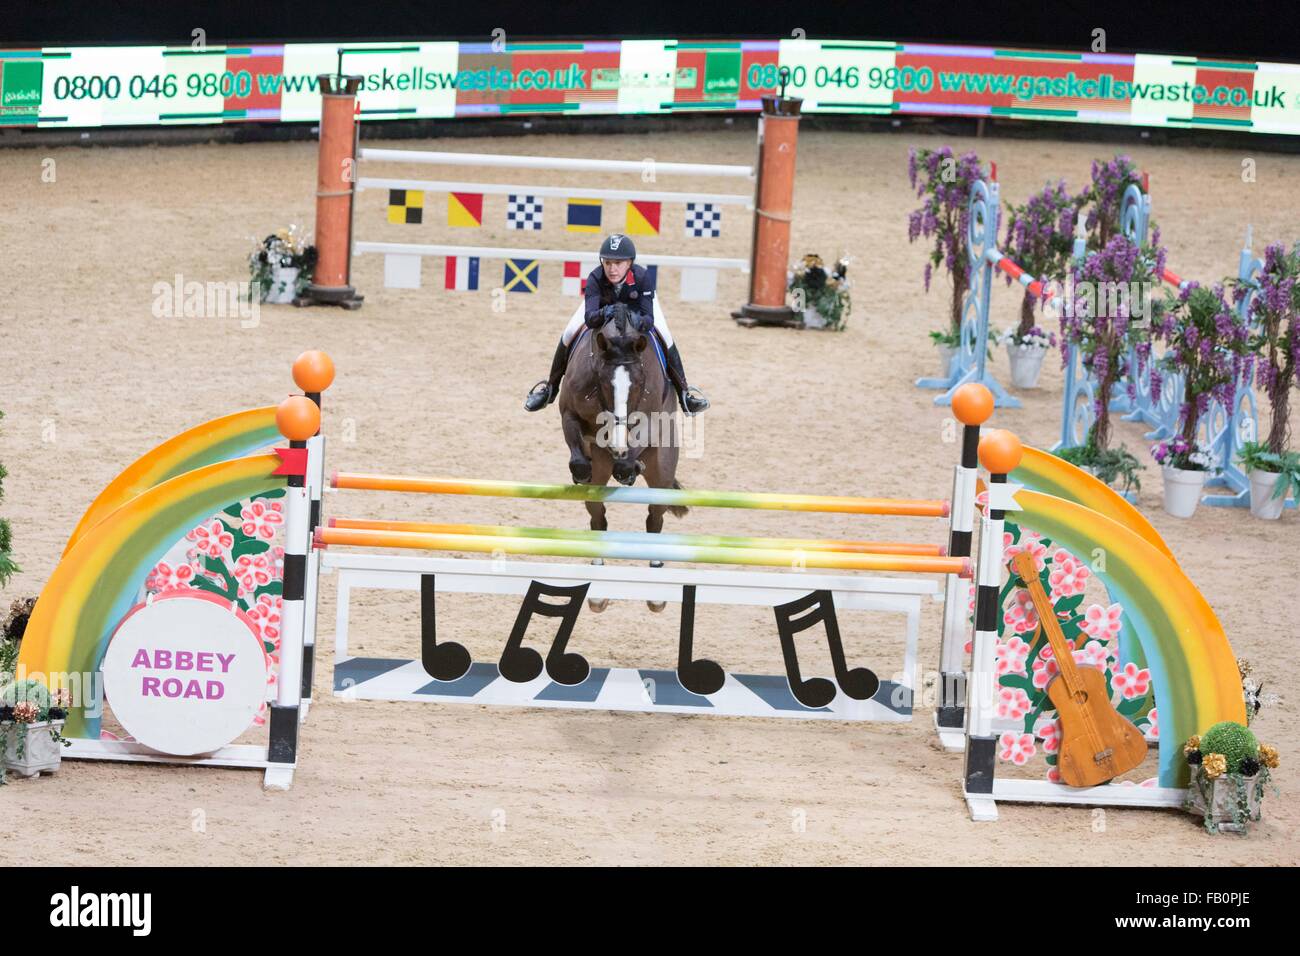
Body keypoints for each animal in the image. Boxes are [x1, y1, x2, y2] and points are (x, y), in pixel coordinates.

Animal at [559, 303, 691, 613]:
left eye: (640, 383)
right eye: (604, 382)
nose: (618, 445)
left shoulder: (650, 419)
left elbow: (631, 454)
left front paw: (628, 466)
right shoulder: (568, 412)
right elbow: (579, 460)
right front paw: (581, 469)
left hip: (662, 473)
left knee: (655, 519)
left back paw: (656, 591)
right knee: (598, 518)